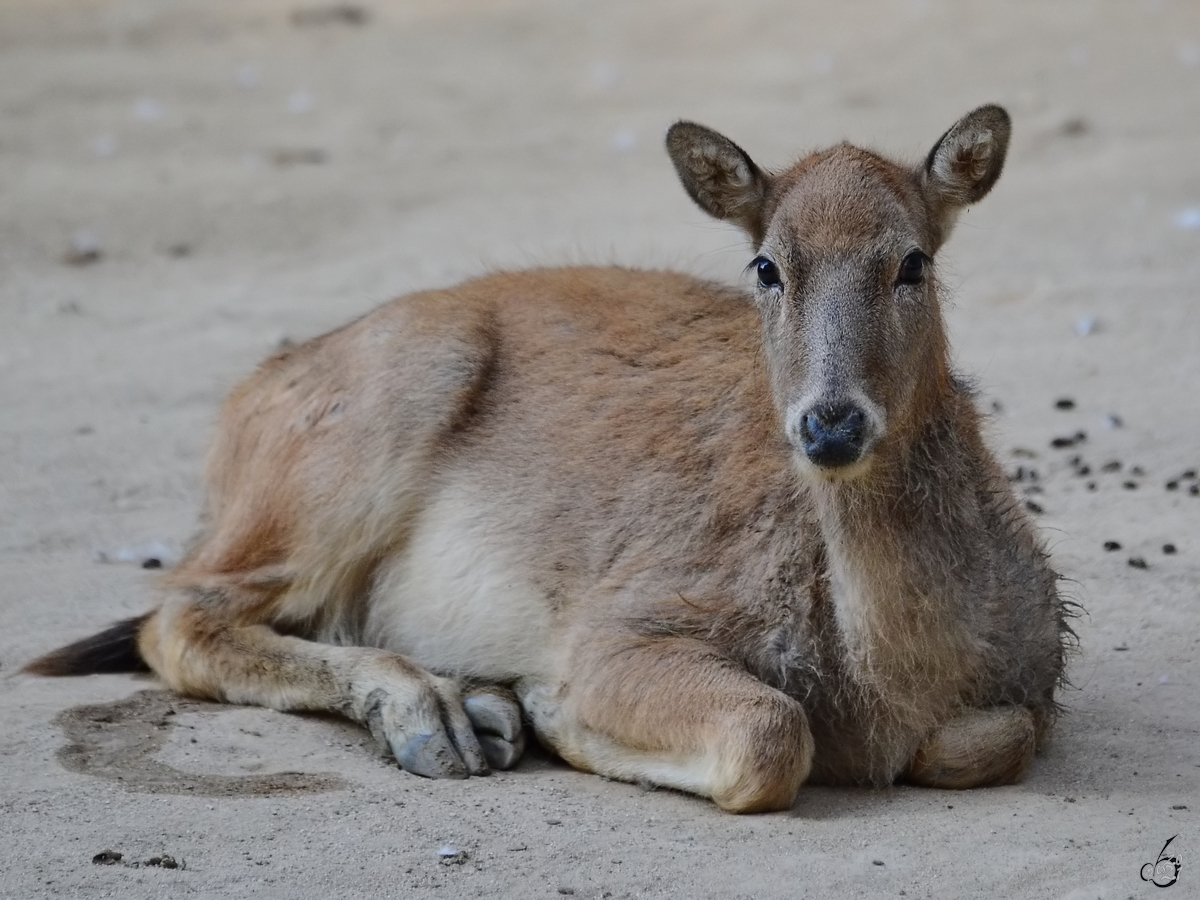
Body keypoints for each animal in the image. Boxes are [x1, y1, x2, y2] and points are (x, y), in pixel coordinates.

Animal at [30, 107, 1070, 816]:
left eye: (913, 262)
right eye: (768, 265)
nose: (830, 426)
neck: (890, 678)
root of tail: (242, 410)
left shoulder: (1029, 685)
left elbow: (992, 737)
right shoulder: (630, 617)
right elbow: (772, 732)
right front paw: (549, 706)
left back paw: (471, 707)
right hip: (354, 443)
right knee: (177, 612)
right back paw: (443, 713)